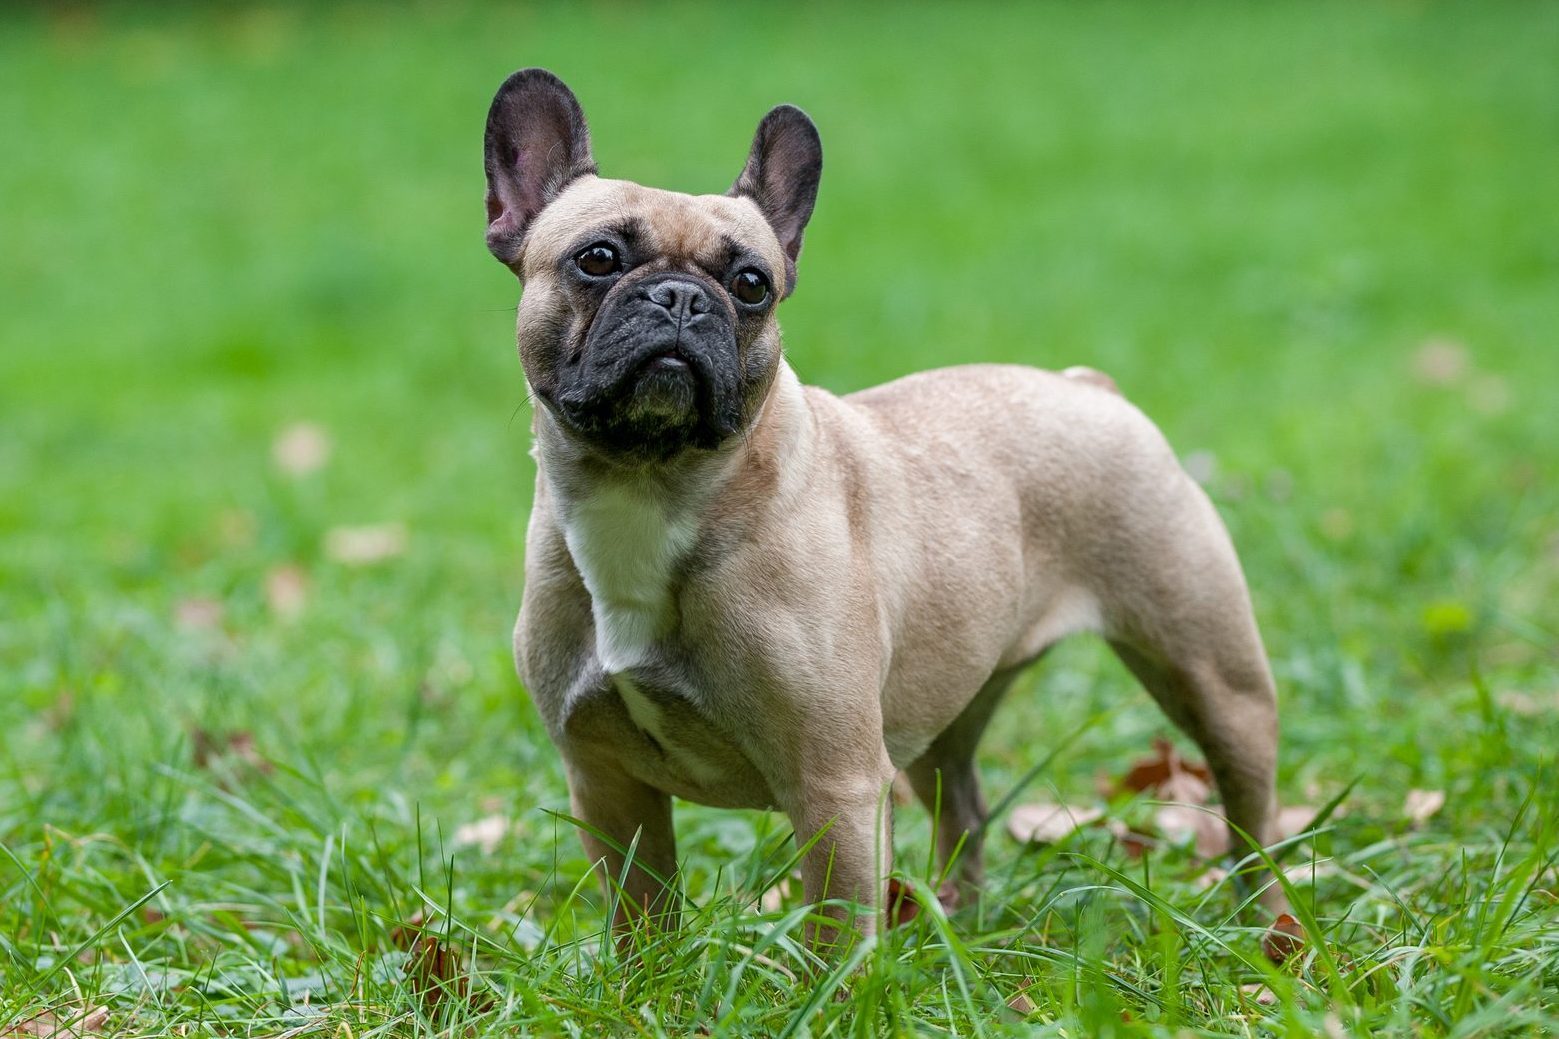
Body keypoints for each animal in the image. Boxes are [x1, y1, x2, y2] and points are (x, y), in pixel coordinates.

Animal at [480, 64, 1284, 936]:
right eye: (596, 258)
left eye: (751, 284)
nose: (681, 298)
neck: (649, 486)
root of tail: (1090, 387)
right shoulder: (607, 783)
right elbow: (642, 919)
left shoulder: (834, 784)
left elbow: (835, 931)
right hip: (941, 703)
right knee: (962, 803)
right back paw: (958, 923)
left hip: (1213, 676)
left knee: (1250, 811)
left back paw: (1270, 926)